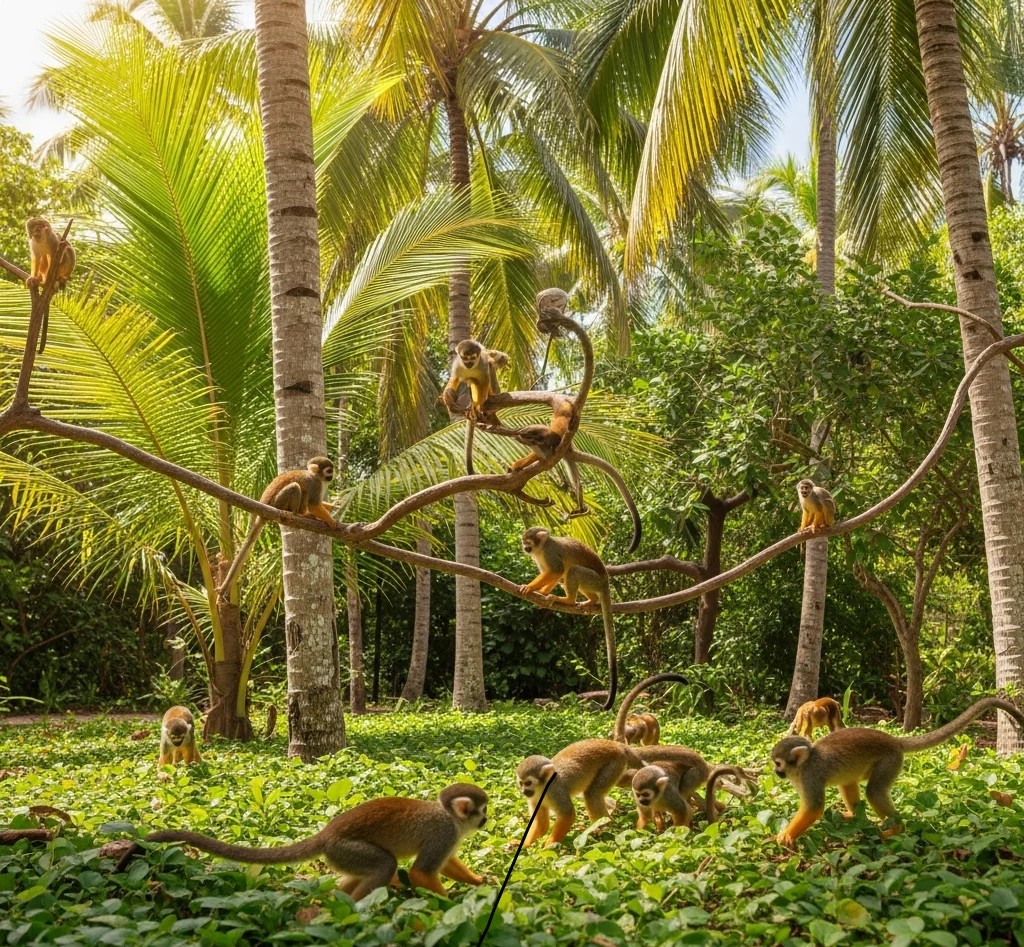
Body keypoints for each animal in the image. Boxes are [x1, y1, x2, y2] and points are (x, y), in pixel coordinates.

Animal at [140, 783, 488, 899]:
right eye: (482, 810)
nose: (485, 820)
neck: (451, 818)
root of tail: (325, 834)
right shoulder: (444, 832)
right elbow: (421, 872)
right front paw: (450, 905)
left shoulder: (451, 836)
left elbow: (446, 864)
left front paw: (480, 882)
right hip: (344, 849)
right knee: (385, 865)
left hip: (340, 855)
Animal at [217, 457, 336, 599]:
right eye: (328, 470)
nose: (331, 476)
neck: (317, 476)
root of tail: (263, 510)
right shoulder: (315, 484)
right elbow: (313, 504)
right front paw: (331, 520)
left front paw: (335, 505)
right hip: (278, 502)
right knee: (296, 487)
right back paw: (299, 513)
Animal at [441, 339, 509, 475]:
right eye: (464, 358)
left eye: (472, 358)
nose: (468, 363)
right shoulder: (457, 364)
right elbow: (455, 379)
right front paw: (447, 395)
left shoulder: (482, 364)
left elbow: (485, 379)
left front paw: (477, 405)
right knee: (471, 379)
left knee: (488, 368)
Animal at [520, 525, 619, 709]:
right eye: (524, 542)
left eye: (528, 542)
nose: (525, 548)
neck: (540, 549)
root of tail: (606, 581)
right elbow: (552, 573)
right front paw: (543, 593)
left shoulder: (550, 552)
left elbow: (556, 570)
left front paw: (531, 588)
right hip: (595, 583)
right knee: (568, 574)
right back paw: (591, 600)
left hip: (594, 580)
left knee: (572, 570)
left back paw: (569, 600)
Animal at [771, 697, 1024, 847]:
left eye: (779, 763)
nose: (776, 772)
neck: (803, 765)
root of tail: (895, 740)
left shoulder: (810, 776)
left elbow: (814, 807)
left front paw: (786, 836)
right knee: (850, 782)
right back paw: (855, 815)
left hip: (890, 761)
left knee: (874, 791)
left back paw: (896, 829)